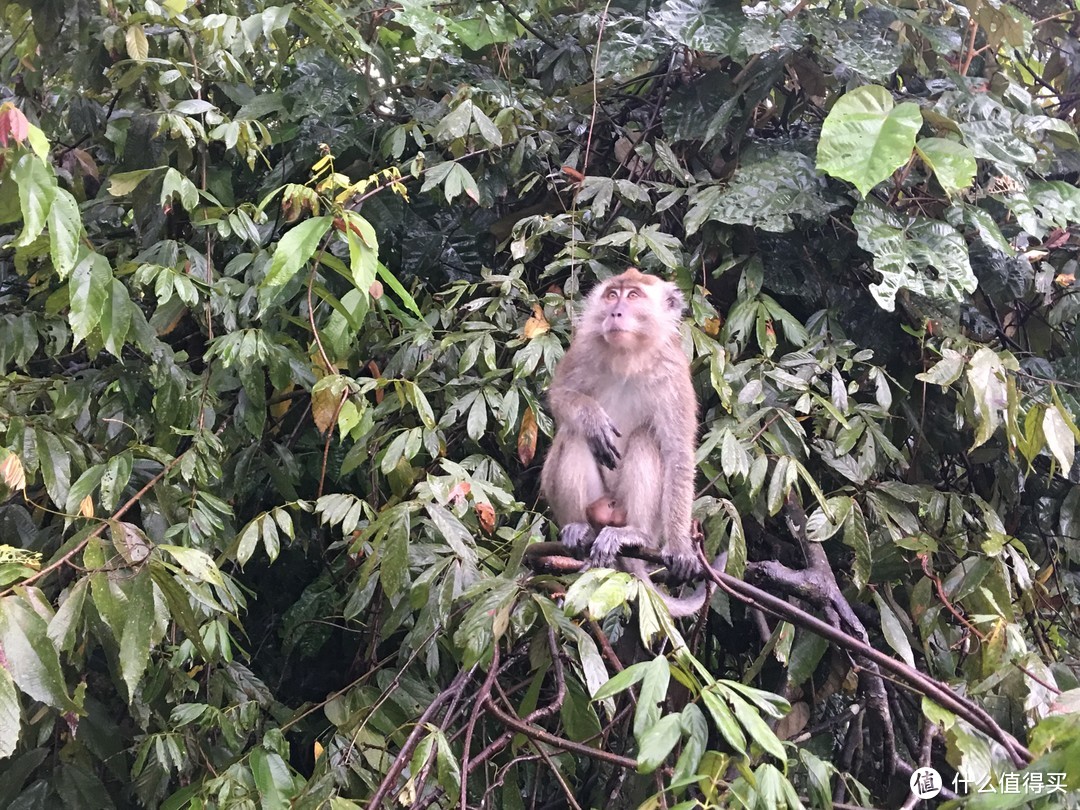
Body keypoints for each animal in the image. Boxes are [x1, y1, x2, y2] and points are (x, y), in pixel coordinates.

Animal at [540, 266, 699, 596]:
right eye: (612, 294)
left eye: (634, 295)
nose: (615, 312)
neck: (629, 355)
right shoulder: (584, 346)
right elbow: (559, 395)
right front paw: (592, 418)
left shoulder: (673, 371)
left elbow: (677, 453)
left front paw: (680, 547)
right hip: (597, 503)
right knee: (574, 435)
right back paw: (579, 527)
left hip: (636, 517)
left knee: (645, 438)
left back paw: (633, 534)